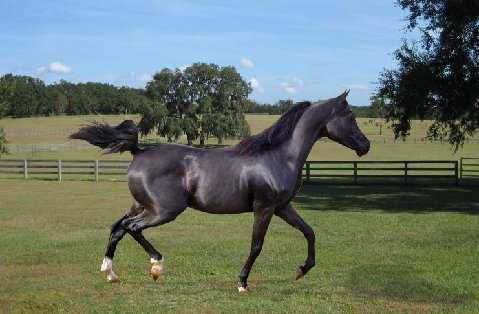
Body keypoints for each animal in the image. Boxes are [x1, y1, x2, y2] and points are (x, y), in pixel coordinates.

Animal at [71, 90, 372, 292]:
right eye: (350, 116)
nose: (365, 145)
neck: (279, 156)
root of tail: (139, 152)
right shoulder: (264, 208)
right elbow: (257, 245)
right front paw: (243, 283)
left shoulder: (283, 207)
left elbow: (309, 232)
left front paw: (301, 270)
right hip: (164, 210)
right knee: (131, 228)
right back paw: (156, 266)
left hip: (142, 206)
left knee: (117, 228)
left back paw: (111, 272)